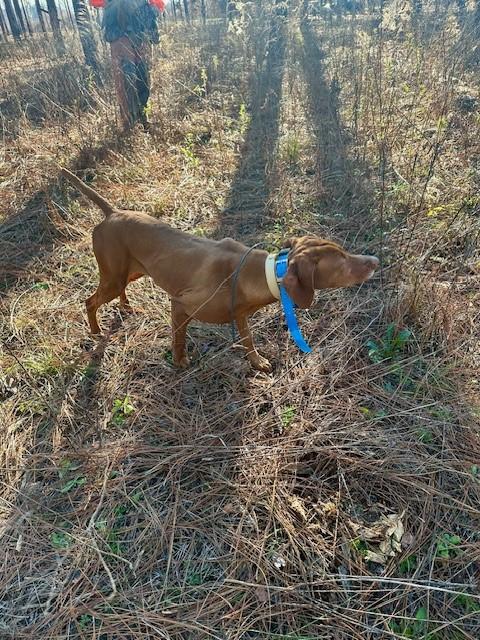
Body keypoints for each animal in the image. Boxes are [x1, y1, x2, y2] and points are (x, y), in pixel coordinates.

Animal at [61, 168, 379, 372]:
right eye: (341, 260)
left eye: (343, 250)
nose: (375, 260)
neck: (259, 273)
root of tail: (112, 212)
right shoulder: (180, 304)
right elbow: (179, 337)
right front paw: (179, 361)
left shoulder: (240, 315)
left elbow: (248, 339)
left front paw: (257, 362)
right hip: (113, 276)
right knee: (90, 301)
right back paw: (95, 332)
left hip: (129, 271)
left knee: (120, 291)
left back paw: (127, 308)